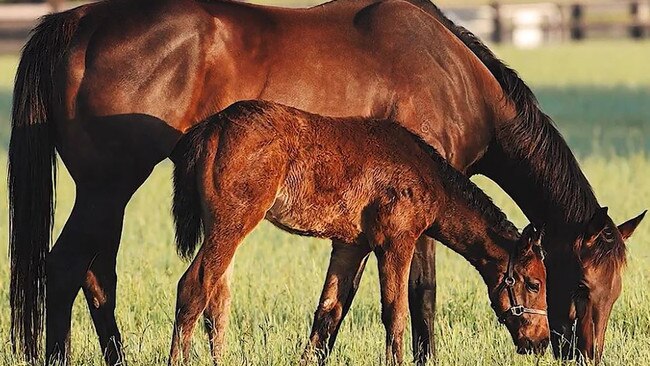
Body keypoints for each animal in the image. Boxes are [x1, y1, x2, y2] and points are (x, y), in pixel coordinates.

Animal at [167, 100, 548, 366]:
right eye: (534, 284)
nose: (541, 342)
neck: (427, 173)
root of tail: (212, 127)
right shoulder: (396, 243)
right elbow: (395, 314)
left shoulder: (350, 246)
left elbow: (328, 313)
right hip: (232, 223)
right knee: (194, 288)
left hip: (224, 231)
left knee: (216, 300)